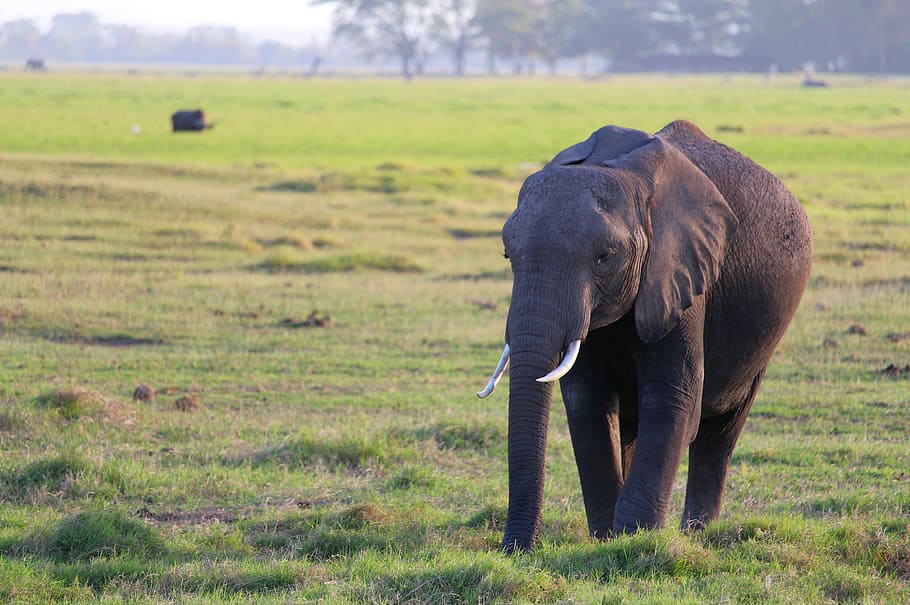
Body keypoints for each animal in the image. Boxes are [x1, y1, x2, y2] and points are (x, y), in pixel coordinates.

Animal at [477, 120, 812, 552]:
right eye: (507, 255)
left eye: (605, 257)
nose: (512, 549)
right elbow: (587, 404)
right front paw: (607, 540)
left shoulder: (683, 271)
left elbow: (672, 401)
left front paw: (634, 538)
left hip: (763, 337)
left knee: (720, 433)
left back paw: (697, 533)